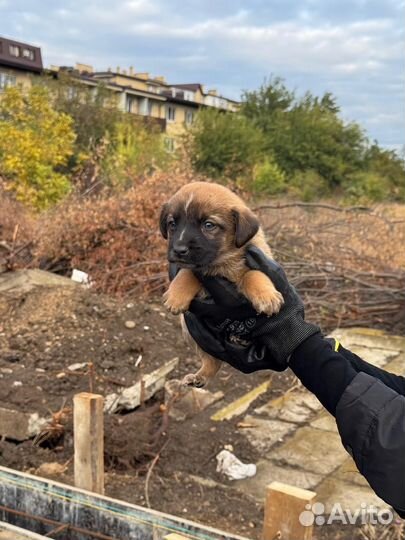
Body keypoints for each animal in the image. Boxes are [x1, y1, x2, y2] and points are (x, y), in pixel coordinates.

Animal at [159, 181, 282, 388]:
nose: (178, 250)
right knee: (212, 361)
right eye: (172, 224)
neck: (222, 263)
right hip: (192, 332)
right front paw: (176, 295)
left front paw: (267, 296)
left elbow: (254, 274)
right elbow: (189, 272)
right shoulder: (196, 268)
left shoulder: (258, 259)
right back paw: (199, 376)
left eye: (209, 225)